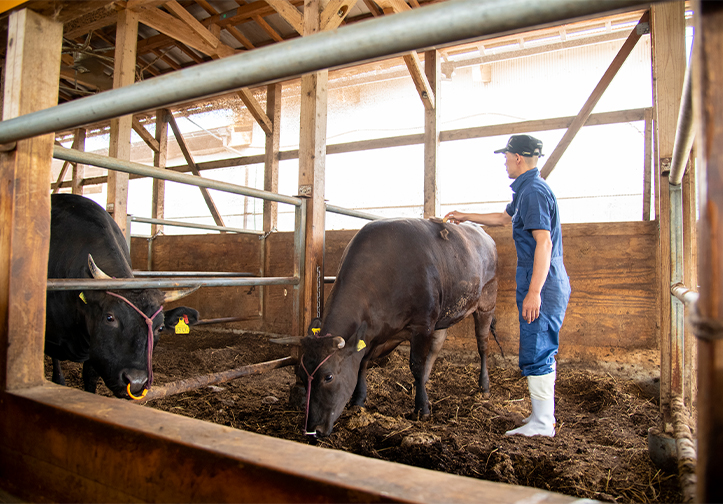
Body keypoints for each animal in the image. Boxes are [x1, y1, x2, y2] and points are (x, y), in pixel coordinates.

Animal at [282, 218, 498, 438]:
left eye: (329, 376)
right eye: (301, 375)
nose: (312, 429)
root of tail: (483, 234)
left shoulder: (423, 325)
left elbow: (416, 365)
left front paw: (422, 409)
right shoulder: (373, 333)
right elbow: (362, 363)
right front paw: (358, 400)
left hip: (486, 302)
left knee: (483, 345)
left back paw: (484, 386)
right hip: (444, 314)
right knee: (437, 346)